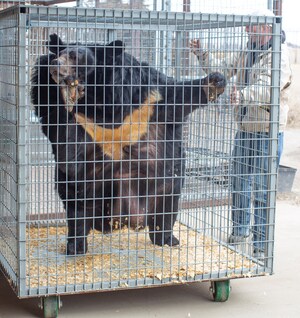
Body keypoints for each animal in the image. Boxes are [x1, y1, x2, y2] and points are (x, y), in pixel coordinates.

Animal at [31, 33, 226, 255]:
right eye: (59, 54)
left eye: (75, 56)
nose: (56, 65)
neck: (96, 98)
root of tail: (123, 220)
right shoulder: (68, 115)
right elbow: (68, 149)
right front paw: (66, 94)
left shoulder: (146, 98)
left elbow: (176, 95)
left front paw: (215, 81)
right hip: (83, 194)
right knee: (77, 216)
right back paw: (76, 246)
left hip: (165, 185)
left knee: (166, 210)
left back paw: (167, 239)